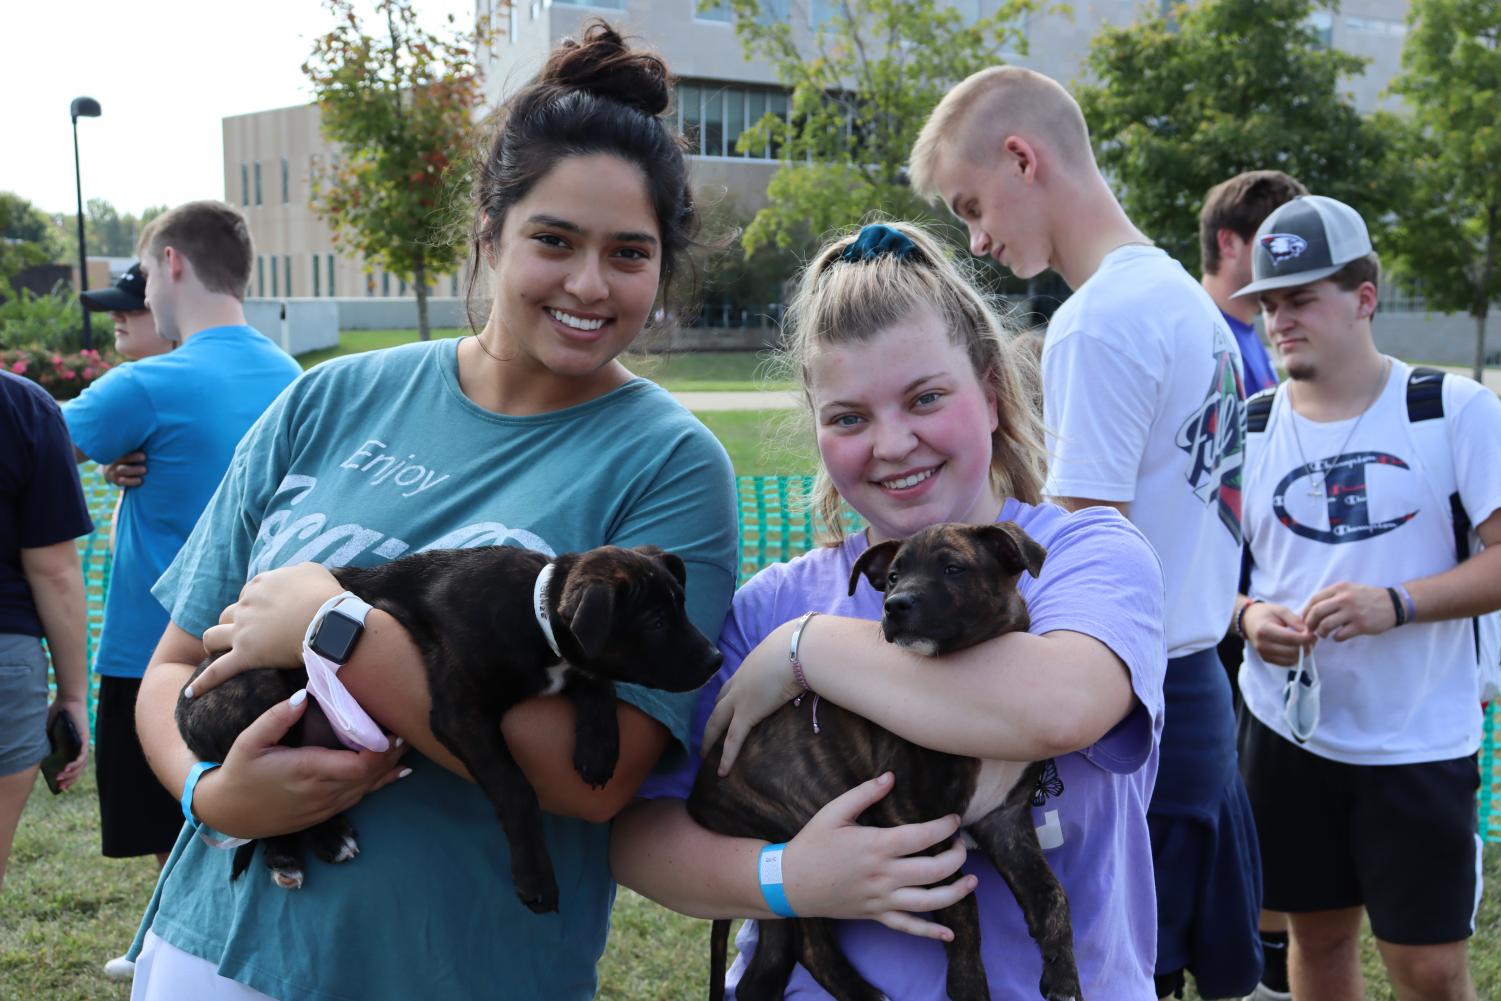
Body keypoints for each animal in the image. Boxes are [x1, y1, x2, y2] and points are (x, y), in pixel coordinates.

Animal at [177, 543, 720, 912]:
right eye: (654, 622)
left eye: (681, 605)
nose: (716, 659)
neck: (534, 610)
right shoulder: (460, 712)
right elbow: (516, 789)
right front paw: (535, 879)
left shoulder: (565, 668)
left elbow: (595, 681)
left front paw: (598, 747)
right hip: (264, 690)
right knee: (275, 796)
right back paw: (312, 845)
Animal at [687, 525, 1086, 1001]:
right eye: (893, 577)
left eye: (953, 568)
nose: (894, 605)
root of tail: (697, 798)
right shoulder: (912, 815)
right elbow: (962, 906)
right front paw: (968, 985)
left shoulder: (1004, 819)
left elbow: (1052, 894)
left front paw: (1064, 977)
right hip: (791, 838)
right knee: (810, 947)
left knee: (769, 964)